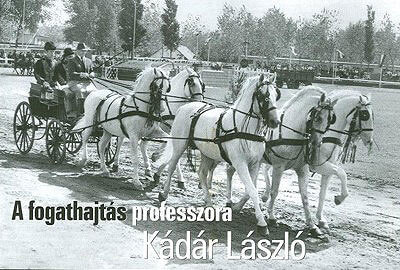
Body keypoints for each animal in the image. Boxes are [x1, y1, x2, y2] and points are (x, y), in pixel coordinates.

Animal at [155, 73, 280, 235]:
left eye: (276, 95)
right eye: (263, 95)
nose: (275, 121)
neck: (243, 129)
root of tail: (185, 107)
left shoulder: (255, 164)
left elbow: (250, 190)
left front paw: (237, 207)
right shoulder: (240, 163)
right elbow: (252, 190)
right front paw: (262, 223)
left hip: (206, 153)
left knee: (202, 173)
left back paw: (208, 203)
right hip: (179, 146)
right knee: (171, 167)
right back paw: (164, 193)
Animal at [225, 86, 334, 236]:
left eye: (330, 120)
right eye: (318, 117)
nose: (317, 143)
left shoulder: (302, 170)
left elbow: (305, 197)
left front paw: (312, 226)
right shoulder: (278, 167)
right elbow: (274, 191)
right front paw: (271, 217)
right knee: (230, 172)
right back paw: (229, 201)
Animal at [266, 89, 376, 233]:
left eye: (372, 115)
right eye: (365, 115)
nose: (370, 141)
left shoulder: (325, 171)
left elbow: (322, 193)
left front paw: (320, 219)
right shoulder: (318, 165)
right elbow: (341, 173)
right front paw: (340, 198)